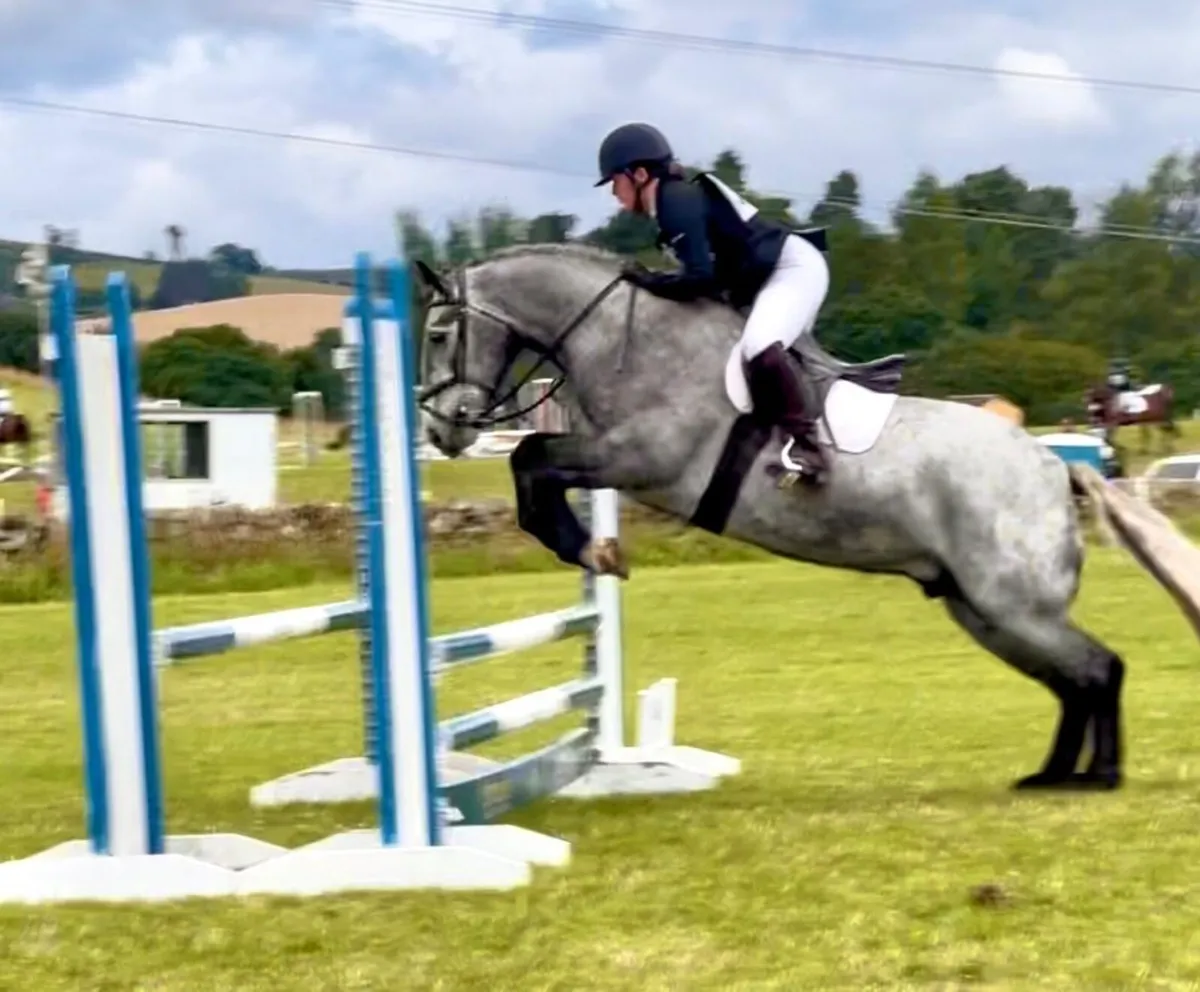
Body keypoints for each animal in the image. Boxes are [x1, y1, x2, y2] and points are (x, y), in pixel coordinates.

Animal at [413, 242, 1196, 794]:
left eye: (441, 334)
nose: (439, 430)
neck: (627, 338)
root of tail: (1056, 467)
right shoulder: (612, 458)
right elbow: (533, 461)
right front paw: (589, 548)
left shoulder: (640, 460)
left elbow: (531, 458)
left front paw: (588, 548)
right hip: (983, 609)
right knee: (1072, 680)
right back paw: (1053, 775)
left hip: (1011, 605)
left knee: (1098, 668)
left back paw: (1099, 777)